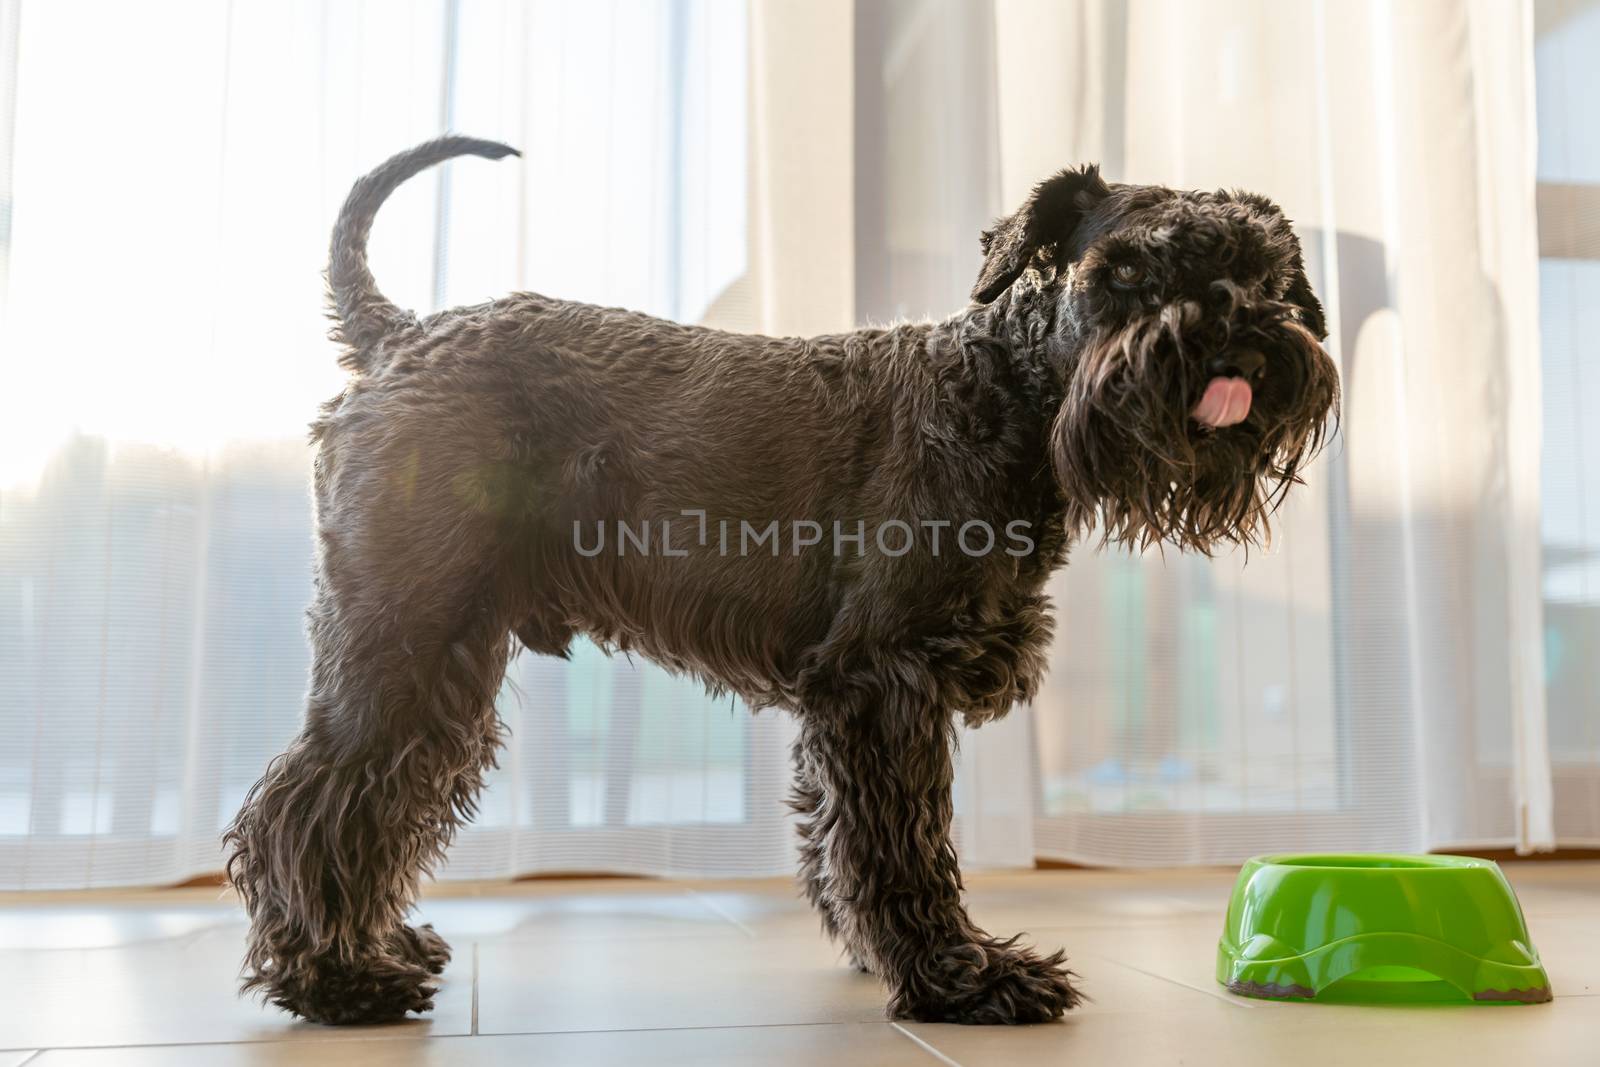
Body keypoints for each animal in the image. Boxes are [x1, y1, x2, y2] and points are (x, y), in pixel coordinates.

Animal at [225, 133, 1344, 1023]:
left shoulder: (851, 695)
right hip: (405, 637)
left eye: (1270, 274)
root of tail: (400, 336)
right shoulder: (882, 682)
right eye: (1127, 272)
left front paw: (891, 955)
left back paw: (377, 949)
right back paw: (337, 981)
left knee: (377, 800)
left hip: (439, 656)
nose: (1235, 328)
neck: (1001, 397)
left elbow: (845, 837)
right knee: (308, 802)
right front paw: (965, 976)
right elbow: (904, 844)